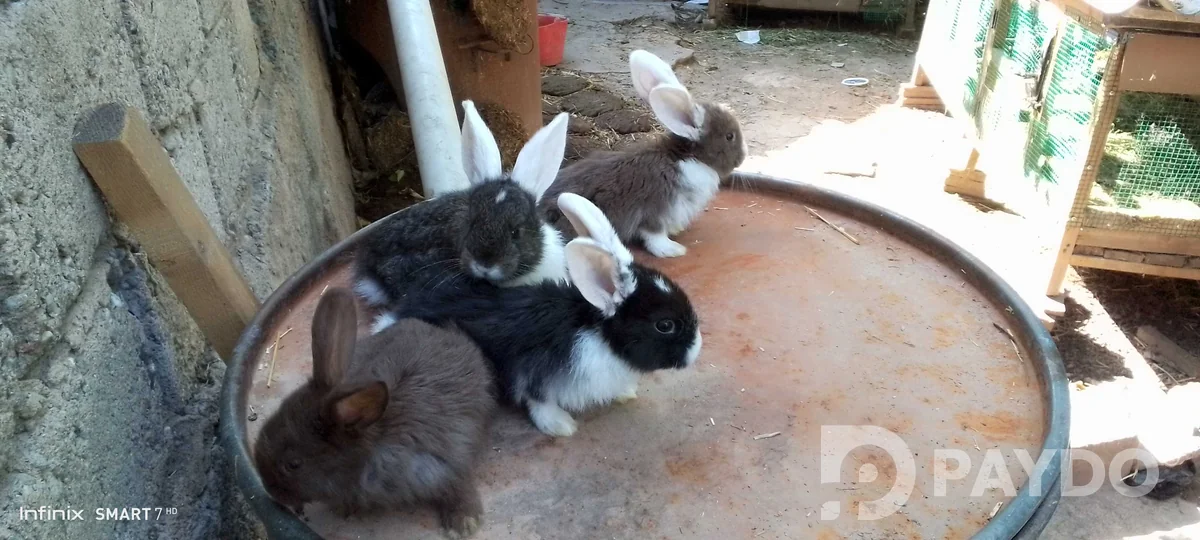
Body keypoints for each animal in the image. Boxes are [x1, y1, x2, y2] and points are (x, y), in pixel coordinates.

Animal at [375, 192, 702, 438]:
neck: (594, 334)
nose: (696, 349)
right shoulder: (533, 373)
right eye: (665, 325)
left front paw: (625, 394)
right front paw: (561, 426)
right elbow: (539, 402)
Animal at [538, 49, 748, 259]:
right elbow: (655, 236)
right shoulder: (655, 211)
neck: (687, 158)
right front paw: (674, 250)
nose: (742, 158)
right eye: (729, 136)